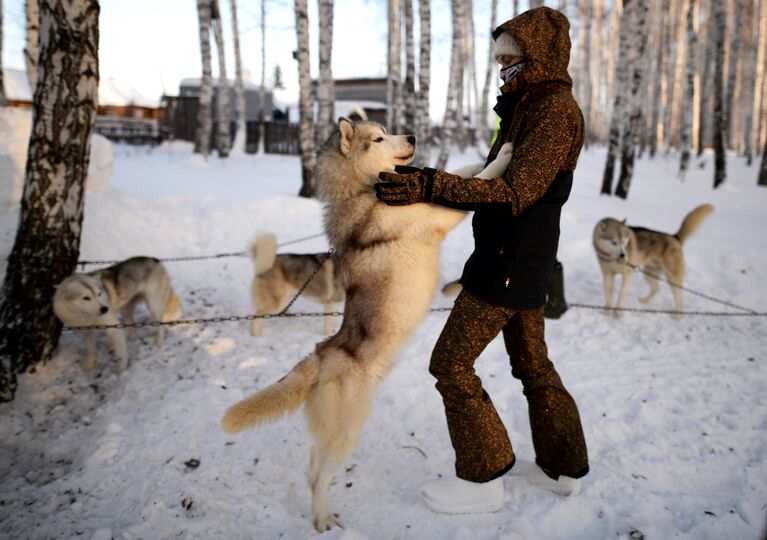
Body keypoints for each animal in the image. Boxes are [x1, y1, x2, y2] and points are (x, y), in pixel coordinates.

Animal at [219, 117, 512, 532]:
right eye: (378, 138)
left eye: (389, 131)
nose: (413, 136)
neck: (365, 191)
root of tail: (319, 356)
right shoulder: (435, 216)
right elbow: (480, 179)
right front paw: (504, 155)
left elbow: (463, 173)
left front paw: (482, 156)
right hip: (347, 431)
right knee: (319, 477)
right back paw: (323, 521)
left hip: (333, 432)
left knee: (312, 466)